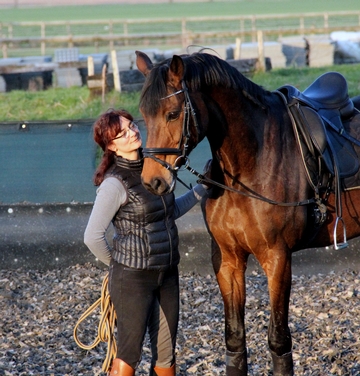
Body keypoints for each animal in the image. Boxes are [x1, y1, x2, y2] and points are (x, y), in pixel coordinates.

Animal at [135, 50, 360, 376]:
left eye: (173, 114)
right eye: (143, 112)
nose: (153, 181)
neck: (253, 160)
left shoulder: (277, 258)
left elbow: (279, 340)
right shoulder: (228, 259)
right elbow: (234, 339)